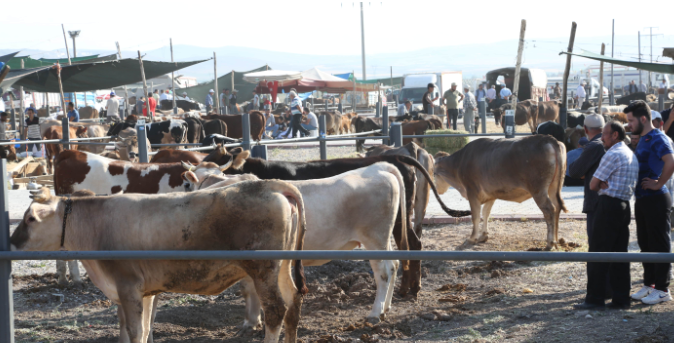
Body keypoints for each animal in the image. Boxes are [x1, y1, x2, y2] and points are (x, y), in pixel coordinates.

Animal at [11, 188, 306, 343]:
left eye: (30, 219)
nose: (12, 242)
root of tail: (270, 185)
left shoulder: (128, 286)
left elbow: (135, 329)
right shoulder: (144, 291)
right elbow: (140, 328)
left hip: (263, 269)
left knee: (276, 309)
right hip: (281, 267)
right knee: (293, 299)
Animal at [430, 136, 568, 251]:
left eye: (434, 173)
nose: (437, 189)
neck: (459, 163)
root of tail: (547, 139)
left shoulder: (472, 191)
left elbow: (475, 216)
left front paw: (472, 238)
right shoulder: (491, 194)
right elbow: (486, 213)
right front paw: (483, 236)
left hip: (538, 189)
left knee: (549, 209)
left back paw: (550, 243)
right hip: (554, 187)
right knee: (557, 207)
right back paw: (557, 241)